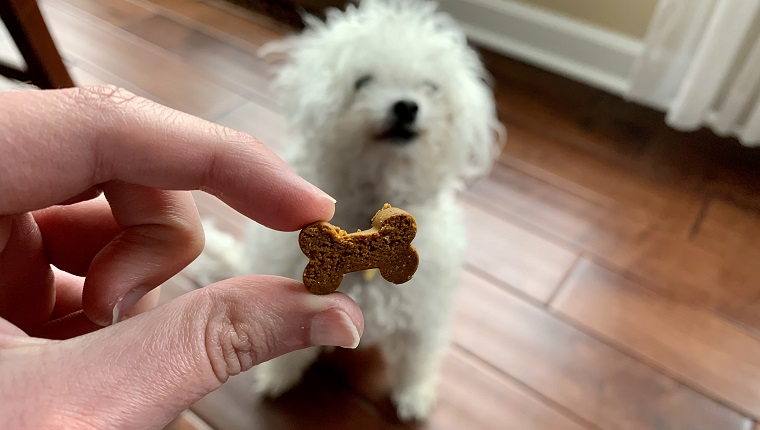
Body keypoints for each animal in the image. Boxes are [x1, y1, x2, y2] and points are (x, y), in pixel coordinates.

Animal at [189, 0, 502, 420]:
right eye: (363, 81)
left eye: (432, 86)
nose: (406, 106)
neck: (375, 189)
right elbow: (292, 352)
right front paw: (277, 376)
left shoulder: (423, 313)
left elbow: (417, 357)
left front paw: (414, 395)